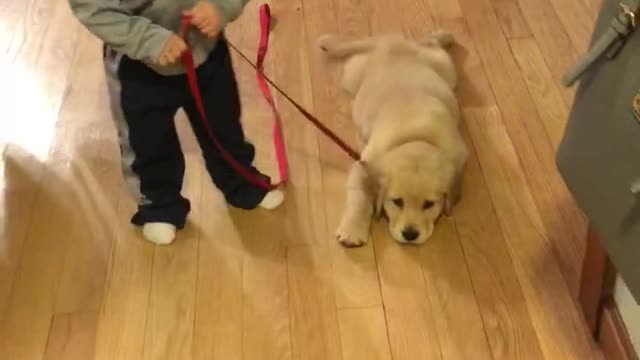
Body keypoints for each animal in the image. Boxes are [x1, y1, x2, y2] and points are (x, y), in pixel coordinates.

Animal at [318, 31, 468, 246]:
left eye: (428, 204)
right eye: (397, 201)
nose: (410, 234)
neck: (416, 137)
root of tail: (389, 43)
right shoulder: (364, 164)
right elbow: (360, 194)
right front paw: (352, 230)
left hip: (445, 69)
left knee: (429, 43)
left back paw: (442, 36)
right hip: (352, 74)